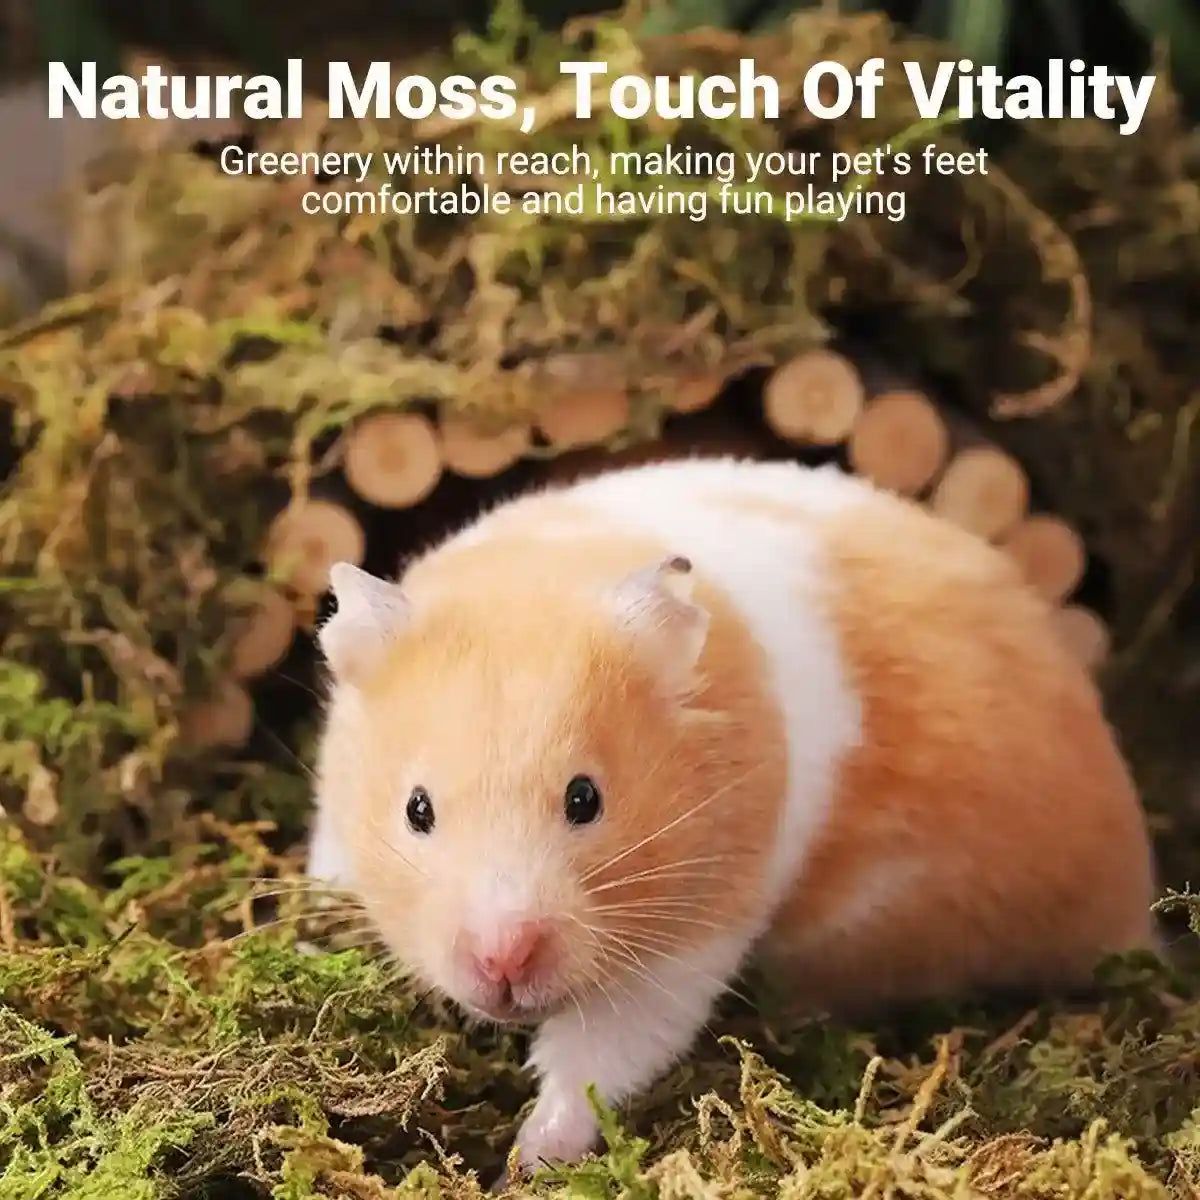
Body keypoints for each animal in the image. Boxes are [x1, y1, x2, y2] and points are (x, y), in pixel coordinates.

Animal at [307, 456, 1158, 1175]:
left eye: (586, 799)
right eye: (416, 810)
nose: (502, 962)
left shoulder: (687, 939)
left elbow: (599, 1054)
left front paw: (531, 1158)